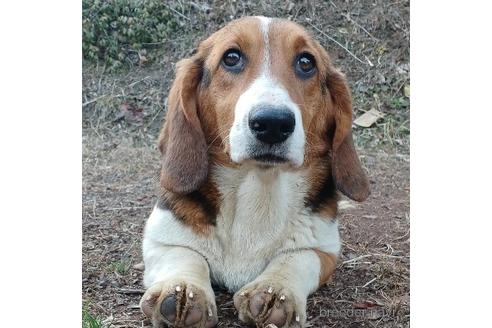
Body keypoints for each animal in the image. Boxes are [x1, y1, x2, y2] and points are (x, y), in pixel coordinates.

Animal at [138, 16, 368, 328]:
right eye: (231, 58)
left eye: (306, 62)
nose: (273, 123)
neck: (260, 185)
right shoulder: (160, 238)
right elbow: (184, 255)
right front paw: (184, 288)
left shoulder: (323, 250)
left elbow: (296, 259)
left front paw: (276, 290)